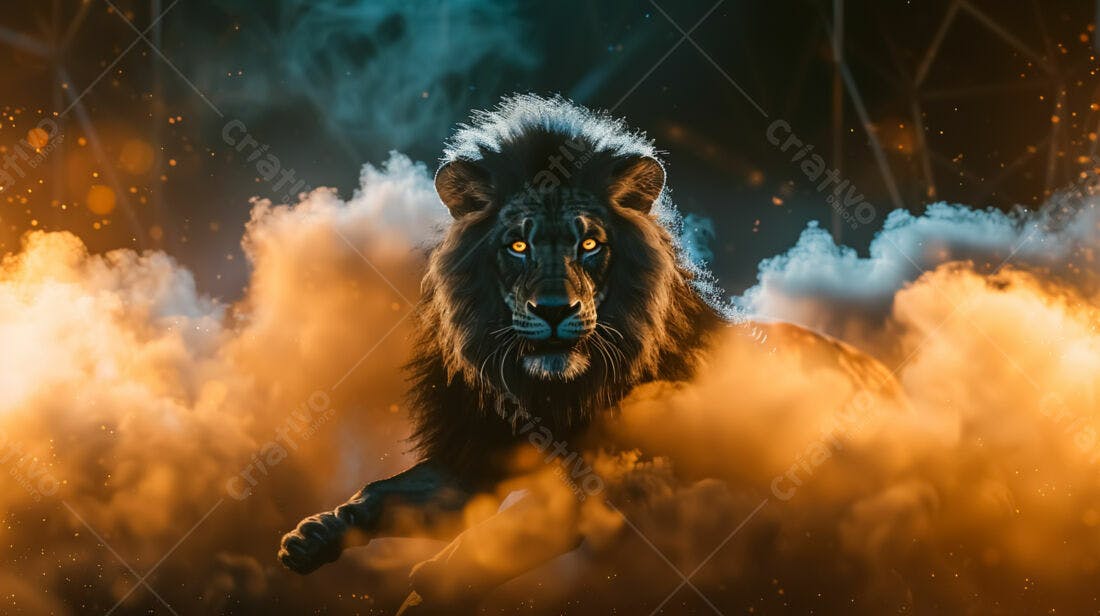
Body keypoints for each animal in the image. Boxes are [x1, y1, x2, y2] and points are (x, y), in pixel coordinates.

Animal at [278, 94, 901, 608]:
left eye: (590, 243)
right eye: (518, 245)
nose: (555, 310)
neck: (550, 392)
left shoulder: (625, 471)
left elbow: (516, 528)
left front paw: (436, 577)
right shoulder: (472, 454)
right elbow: (388, 493)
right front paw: (314, 536)